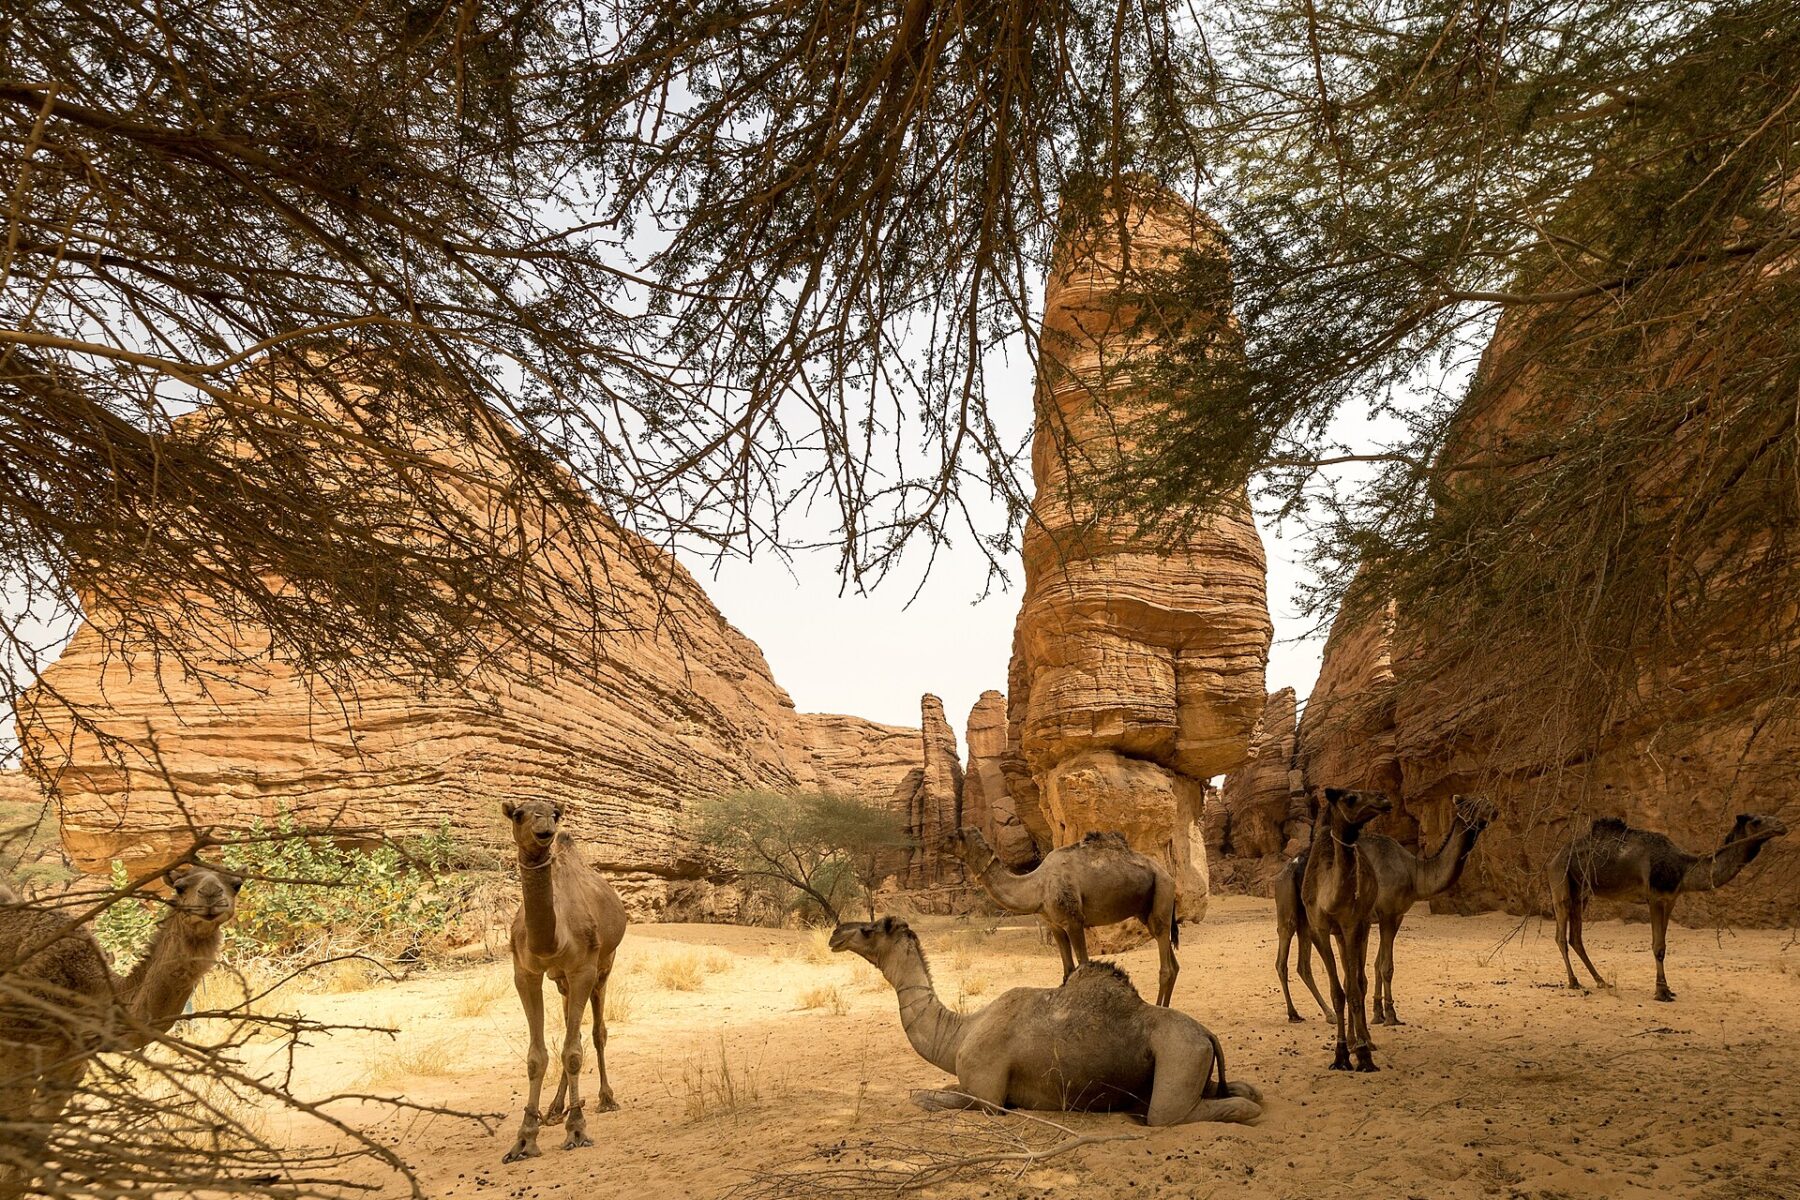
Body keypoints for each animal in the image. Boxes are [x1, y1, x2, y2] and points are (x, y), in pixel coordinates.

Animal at [499, 799, 627, 1164]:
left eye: (554, 813)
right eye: (518, 814)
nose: (546, 830)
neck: (552, 939)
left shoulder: (583, 967)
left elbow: (573, 1051)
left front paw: (578, 1129)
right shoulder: (525, 972)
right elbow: (536, 1056)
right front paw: (525, 1139)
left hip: (604, 966)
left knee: (597, 1032)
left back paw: (606, 1098)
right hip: (561, 982)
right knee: (574, 1027)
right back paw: (555, 1109)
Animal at [830, 916, 1260, 1125]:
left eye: (868, 929)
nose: (835, 933)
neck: (960, 1033)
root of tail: (1207, 1033)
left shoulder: (987, 1096)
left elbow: (924, 1097)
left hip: (1179, 1055)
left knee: (1172, 1114)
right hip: (1194, 1060)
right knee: (1242, 1089)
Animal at [950, 827, 1182, 1006]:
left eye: (955, 835)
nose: (944, 845)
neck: (1037, 887)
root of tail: (1169, 876)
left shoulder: (1074, 921)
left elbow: (1084, 967)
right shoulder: (1056, 925)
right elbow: (1067, 971)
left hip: (1162, 892)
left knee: (1166, 966)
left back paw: (1160, 1009)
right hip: (1148, 910)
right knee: (1172, 962)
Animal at [1298, 787, 1392, 1072]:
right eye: (1350, 798)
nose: (1384, 799)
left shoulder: (1352, 924)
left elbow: (1353, 990)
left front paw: (1363, 1055)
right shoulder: (1319, 929)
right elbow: (1337, 992)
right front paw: (1341, 1053)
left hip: (1362, 926)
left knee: (1358, 981)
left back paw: (1365, 1040)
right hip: (1338, 935)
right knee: (1348, 980)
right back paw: (1351, 1041)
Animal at [1549, 812, 1788, 1001]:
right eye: (1757, 821)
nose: (1781, 825)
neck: (1682, 868)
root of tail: (1554, 857)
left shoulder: (1670, 899)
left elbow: (1663, 946)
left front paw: (1667, 989)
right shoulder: (1654, 897)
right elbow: (1658, 946)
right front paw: (1661, 993)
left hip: (1582, 893)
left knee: (1576, 938)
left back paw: (1601, 981)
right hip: (1561, 883)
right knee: (1561, 935)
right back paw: (1573, 981)